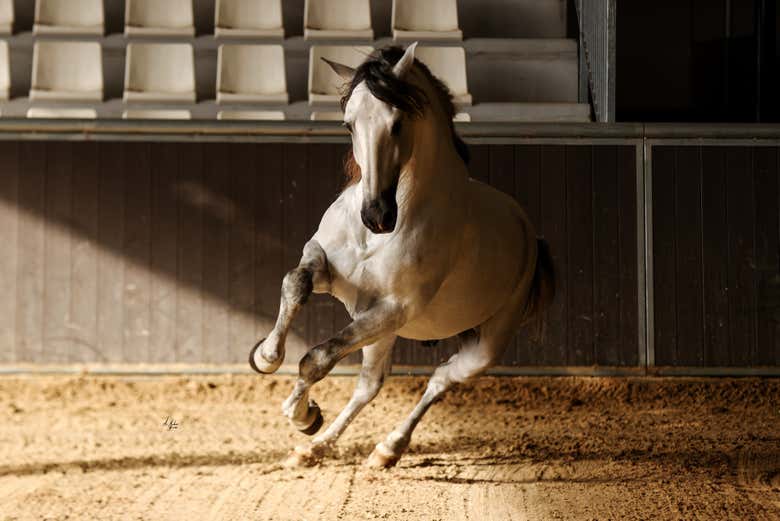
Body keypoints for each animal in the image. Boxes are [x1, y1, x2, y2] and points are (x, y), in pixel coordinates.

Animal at [248, 42, 555, 468]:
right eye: (348, 124)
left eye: (397, 123)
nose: (376, 215)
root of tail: (529, 234)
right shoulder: (328, 266)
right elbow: (295, 284)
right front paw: (266, 357)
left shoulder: (396, 308)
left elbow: (317, 358)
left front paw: (302, 415)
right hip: (379, 331)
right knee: (370, 385)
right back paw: (314, 448)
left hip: (481, 346)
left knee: (440, 380)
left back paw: (387, 448)